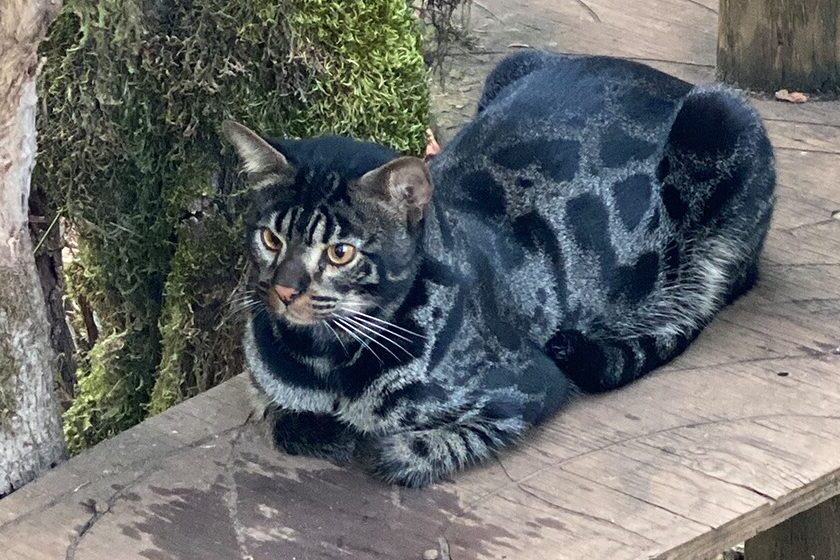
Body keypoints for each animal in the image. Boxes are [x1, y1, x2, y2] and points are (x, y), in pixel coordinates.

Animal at [221, 50, 776, 486]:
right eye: (271, 238)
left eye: (341, 252)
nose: (285, 290)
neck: (324, 363)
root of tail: (667, 78)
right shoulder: (270, 390)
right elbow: (278, 413)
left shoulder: (528, 386)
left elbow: (426, 443)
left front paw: (392, 447)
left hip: (721, 126)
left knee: (706, 298)